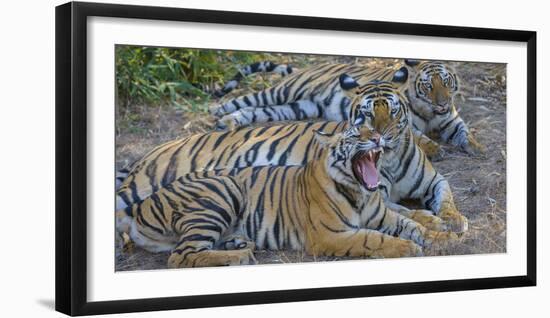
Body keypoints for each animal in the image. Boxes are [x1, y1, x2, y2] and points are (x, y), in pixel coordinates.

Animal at [116, 126, 458, 268]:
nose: (377, 138)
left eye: (371, 131)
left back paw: (239, 245)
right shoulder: (331, 235)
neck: (360, 192)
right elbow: (373, 239)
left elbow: (414, 225)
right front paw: (408, 248)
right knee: (181, 256)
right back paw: (239, 257)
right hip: (222, 190)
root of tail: (139, 208)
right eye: (354, 135)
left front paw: (443, 238)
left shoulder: (384, 215)